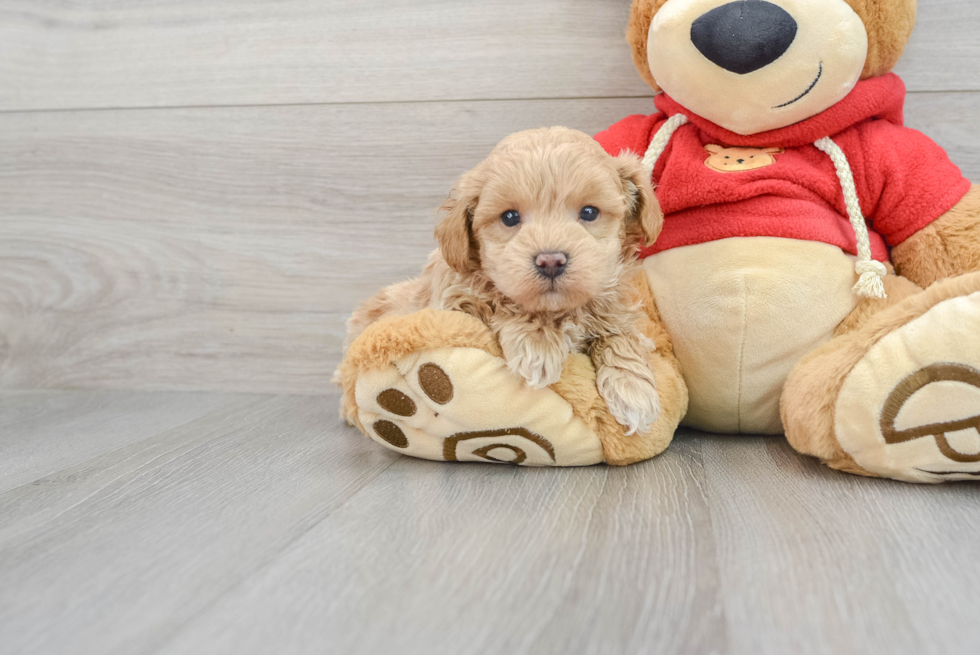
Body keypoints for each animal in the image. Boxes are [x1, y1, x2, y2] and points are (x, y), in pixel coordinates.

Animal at [340, 127, 664, 436]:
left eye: (589, 212)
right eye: (509, 217)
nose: (551, 261)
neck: (558, 311)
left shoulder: (612, 306)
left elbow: (621, 335)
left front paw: (633, 391)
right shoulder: (455, 305)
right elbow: (503, 305)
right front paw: (538, 344)